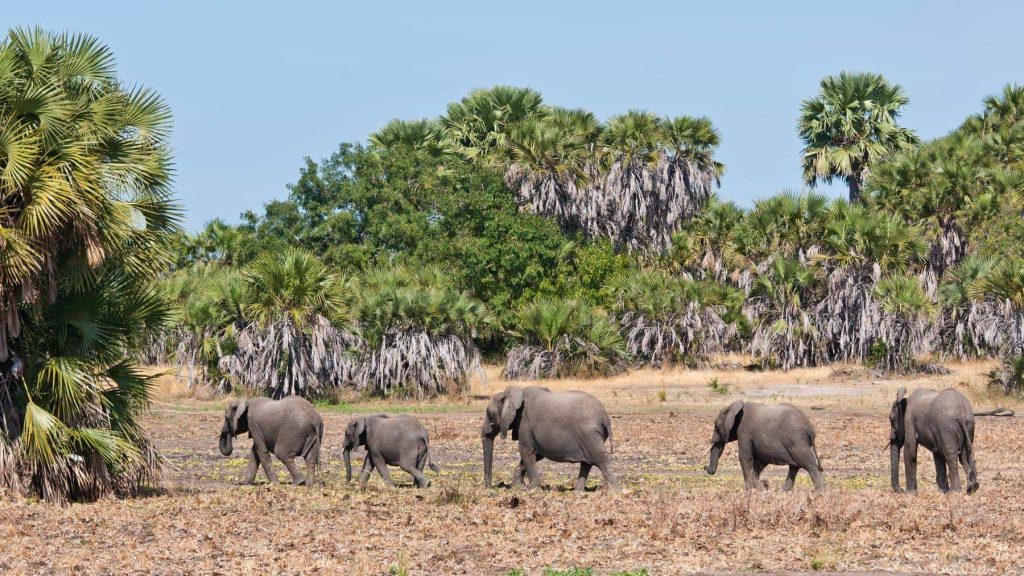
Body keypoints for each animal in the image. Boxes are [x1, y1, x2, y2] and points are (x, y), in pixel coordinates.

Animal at [481, 386, 617, 492]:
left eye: (489, 414)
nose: (490, 489)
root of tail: (605, 416)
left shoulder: (525, 423)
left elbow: (526, 452)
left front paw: (535, 491)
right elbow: (536, 454)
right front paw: (519, 488)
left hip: (589, 433)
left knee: (601, 459)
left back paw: (614, 491)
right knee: (586, 463)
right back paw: (577, 492)